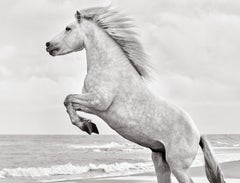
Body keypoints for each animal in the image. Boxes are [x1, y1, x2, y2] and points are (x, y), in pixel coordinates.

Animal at [46, 6, 226, 182]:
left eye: (68, 28)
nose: (48, 45)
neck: (110, 67)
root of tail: (198, 135)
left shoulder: (99, 102)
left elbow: (67, 98)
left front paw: (86, 126)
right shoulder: (93, 106)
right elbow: (69, 102)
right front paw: (88, 125)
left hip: (178, 166)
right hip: (160, 161)